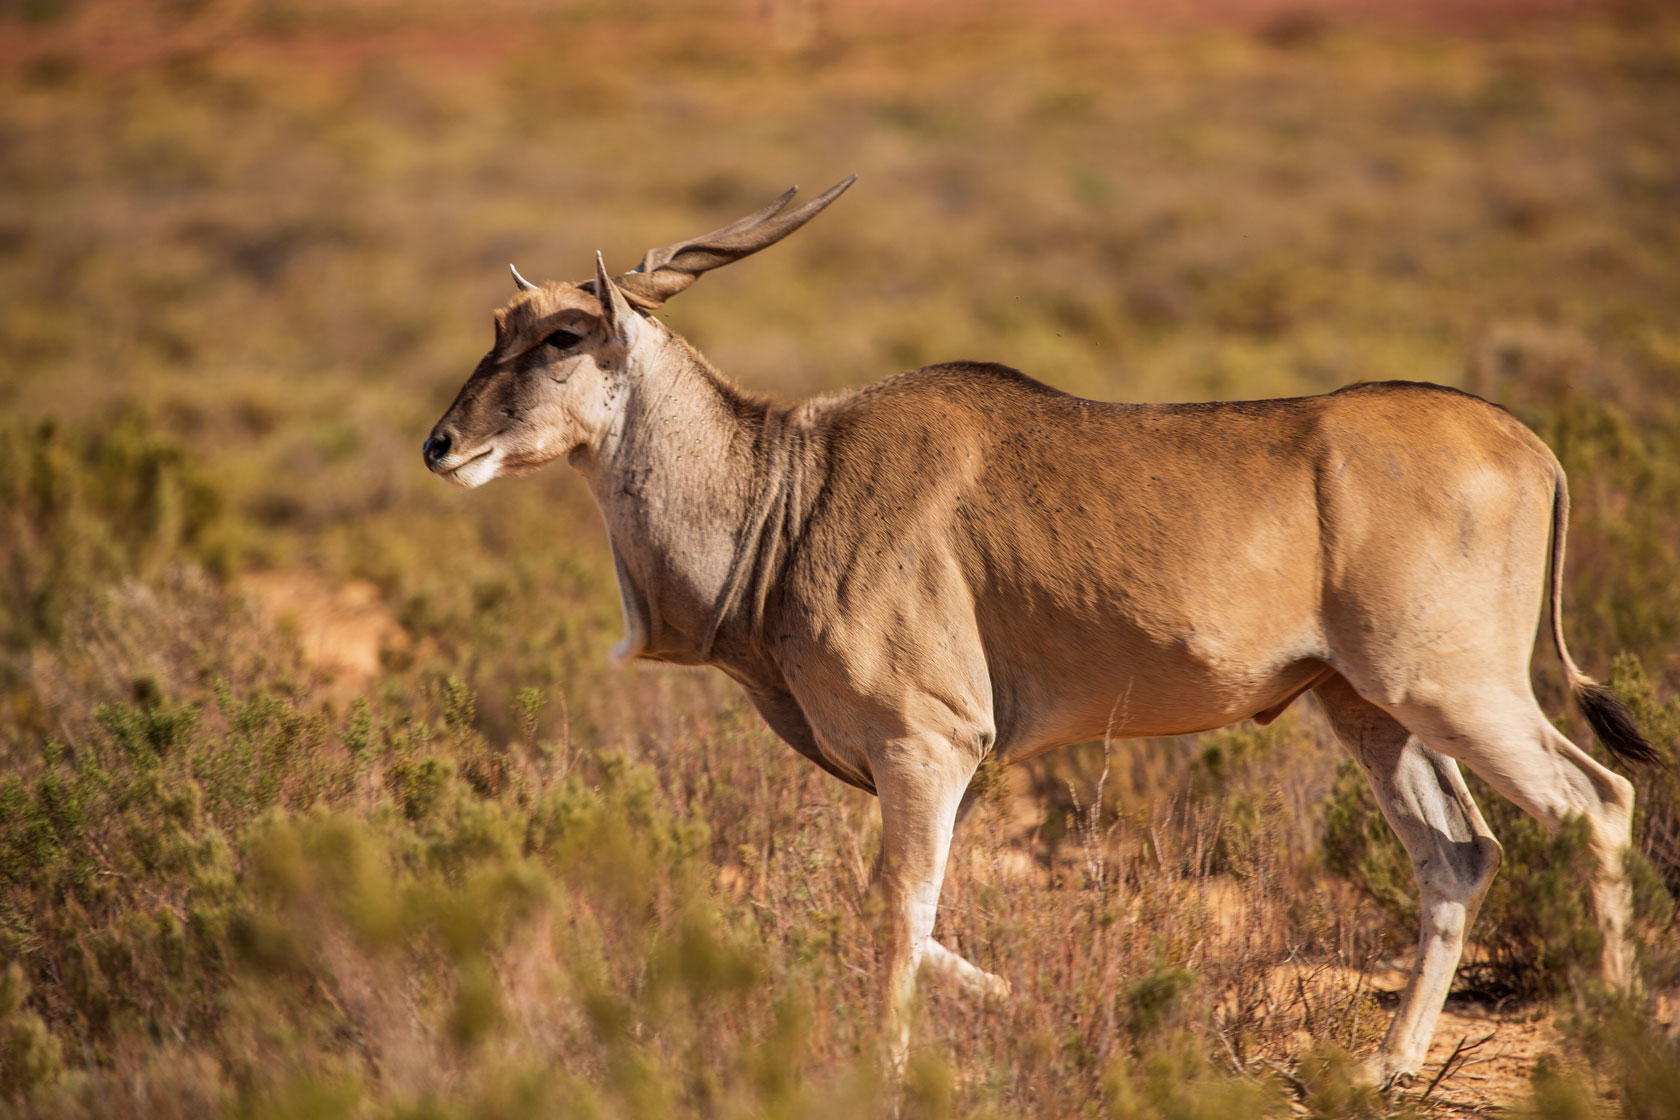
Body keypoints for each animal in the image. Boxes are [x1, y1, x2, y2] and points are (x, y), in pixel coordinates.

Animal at [423, 178, 1658, 1085]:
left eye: (564, 337)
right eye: (498, 329)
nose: (441, 445)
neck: (789, 490)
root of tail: (1531, 445)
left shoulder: (930, 746)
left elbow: (896, 907)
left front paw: (889, 1065)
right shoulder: (934, 763)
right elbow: (910, 913)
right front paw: (1023, 999)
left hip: (1452, 690)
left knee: (1595, 802)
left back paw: (1615, 1035)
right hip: (1366, 708)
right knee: (1458, 855)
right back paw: (1385, 1069)